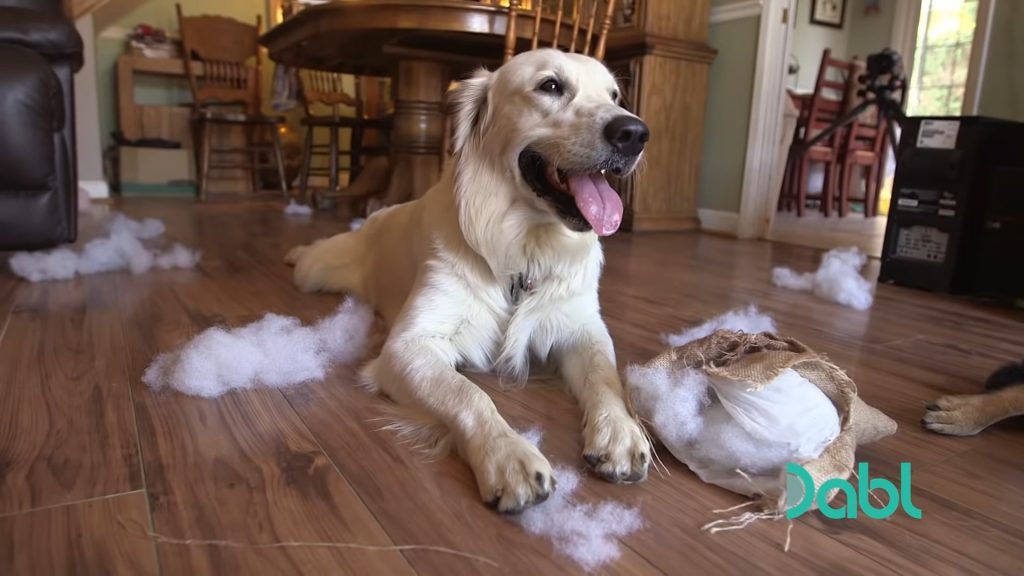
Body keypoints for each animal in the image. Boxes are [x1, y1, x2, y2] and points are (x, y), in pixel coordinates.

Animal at [284, 49, 651, 510]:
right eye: (550, 86)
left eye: (615, 95)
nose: (635, 133)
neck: (523, 250)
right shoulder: (409, 346)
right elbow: (469, 394)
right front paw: (509, 456)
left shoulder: (582, 327)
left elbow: (605, 376)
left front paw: (620, 432)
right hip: (318, 271)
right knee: (310, 257)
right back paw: (295, 251)